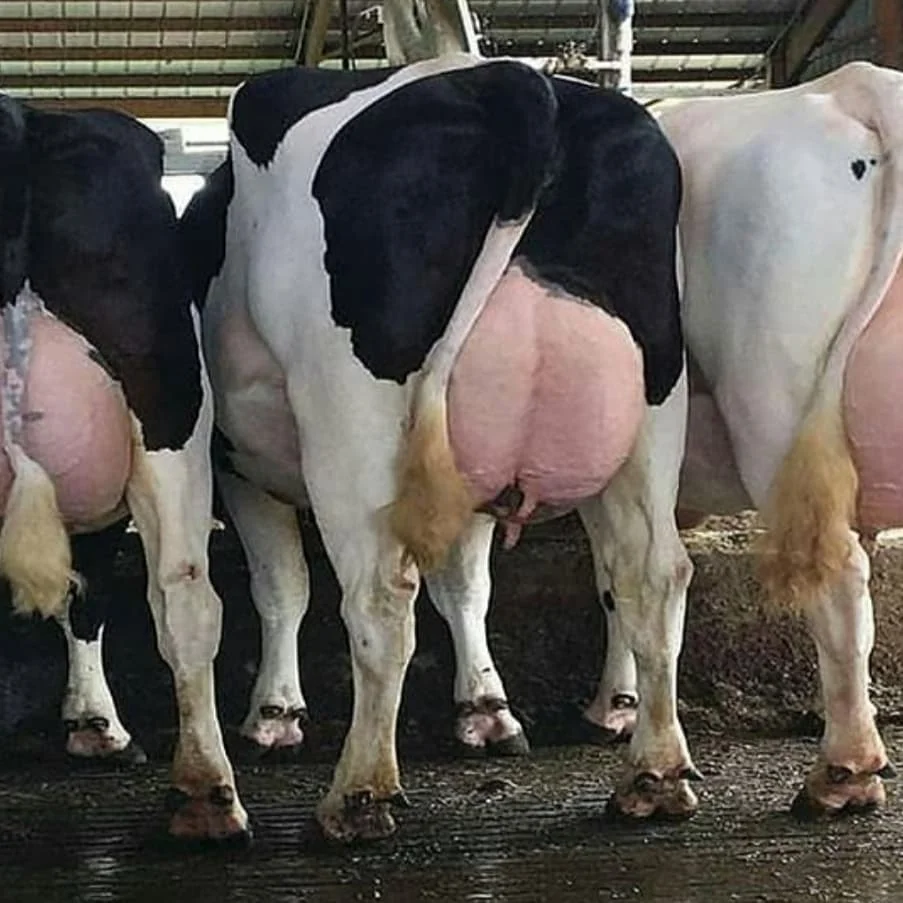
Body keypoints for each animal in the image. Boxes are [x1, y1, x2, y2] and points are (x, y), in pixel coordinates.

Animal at [0, 97, 248, 843]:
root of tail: (23, 122)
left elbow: (85, 593)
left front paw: (94, 723)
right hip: (171, 410)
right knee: (187, 595)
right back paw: (208, 793)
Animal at [181, 53, 692, 840]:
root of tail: (510, 77)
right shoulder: (471, 478)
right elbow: (467, 585)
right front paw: (485, 709)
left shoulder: (241, 466)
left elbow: (282, 584)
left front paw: (274, 714)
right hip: (654, 404)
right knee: (653, 574)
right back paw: (655, 776)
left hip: (349, 416)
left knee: (380, 598)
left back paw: (359, 794)